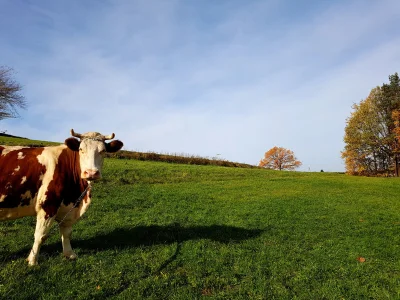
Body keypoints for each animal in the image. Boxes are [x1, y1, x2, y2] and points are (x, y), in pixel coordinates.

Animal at [0, 129, 123, 264]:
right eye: (81, 149)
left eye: (103, 151)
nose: (91, 173)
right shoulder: (48, 205)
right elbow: (40, 235)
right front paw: (32, 260)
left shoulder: (68, 208)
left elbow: (67, 232)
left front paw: (69, 254)